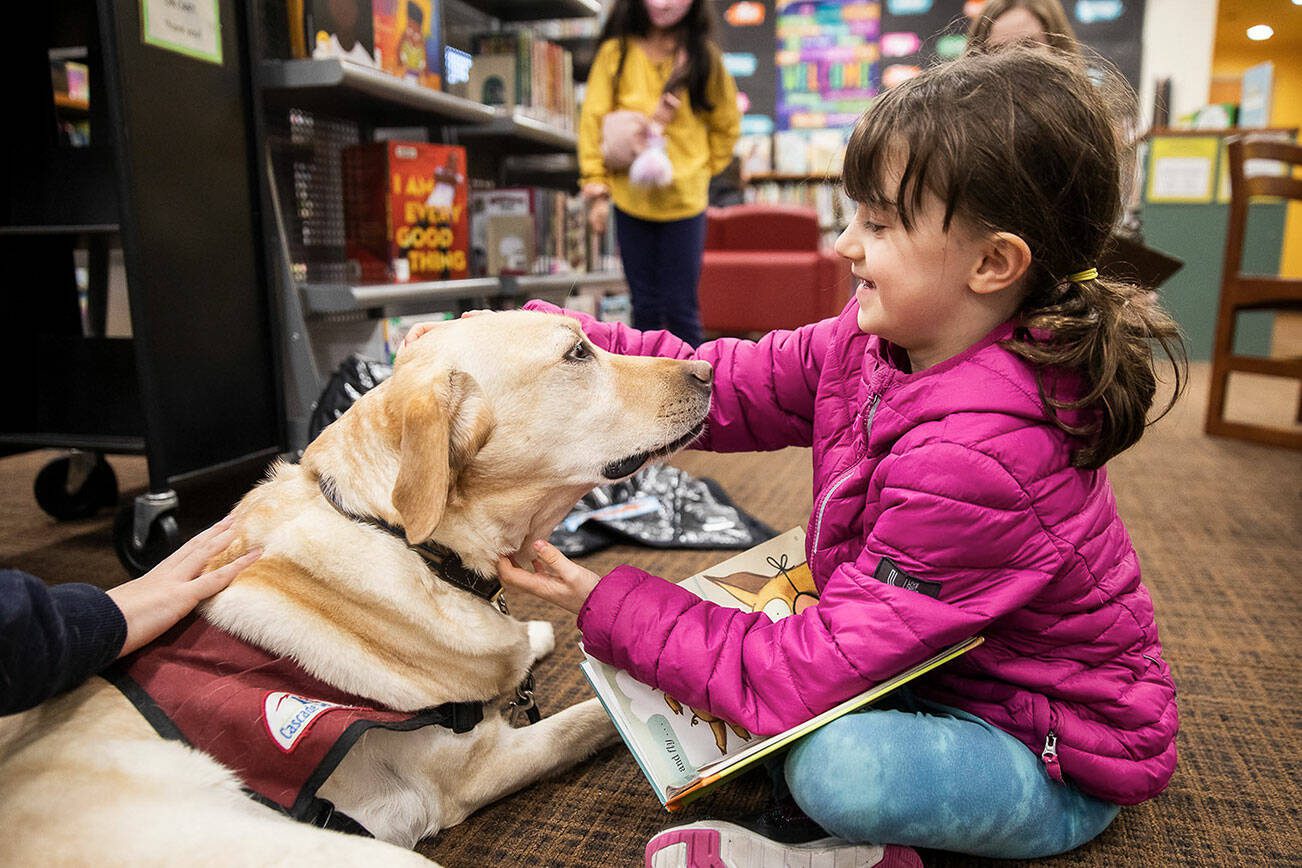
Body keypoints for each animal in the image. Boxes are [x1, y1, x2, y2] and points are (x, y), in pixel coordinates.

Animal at [0, 311, 713, 864]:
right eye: (576, 354)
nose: (707, 371)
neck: (405, 538)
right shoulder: (479, 765)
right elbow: (585, 718)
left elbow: (517, 649)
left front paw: (534, 635)